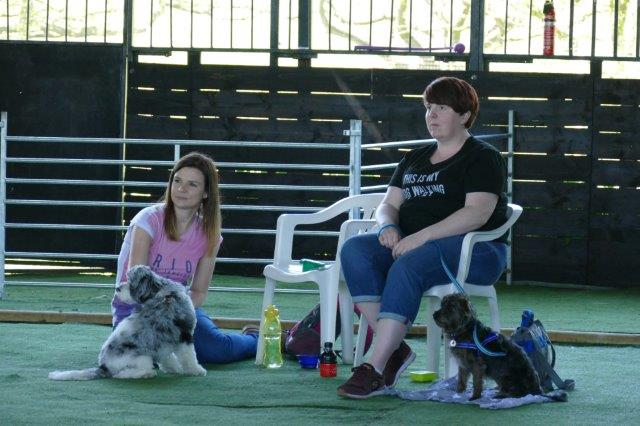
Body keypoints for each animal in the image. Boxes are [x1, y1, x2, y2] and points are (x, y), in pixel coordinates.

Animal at [49, 265, 207, 380]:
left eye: (131, 282)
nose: (117, 288)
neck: (165, 296)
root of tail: (103, 366)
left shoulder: (164, 341)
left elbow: (168, 357)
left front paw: (173, 369)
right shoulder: (184, 336)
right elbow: (189, 357)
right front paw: (197, 370)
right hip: (143, 358)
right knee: (123, 374)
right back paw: (147, 373)